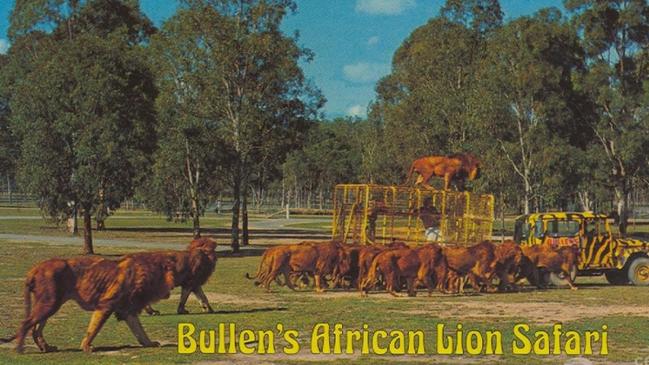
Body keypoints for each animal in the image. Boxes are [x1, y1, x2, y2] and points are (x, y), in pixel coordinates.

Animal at [14, 252, 176, 352]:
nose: (171, 289)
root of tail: (34, 269)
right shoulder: (105, 305)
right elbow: (94, 328)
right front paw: (86, 346)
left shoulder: (127, 310)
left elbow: (139, 330)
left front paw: (150, 343)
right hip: (50, 303)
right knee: (25, 323)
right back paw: (20, 349)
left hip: (49, 303)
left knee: (36, 329)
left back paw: (46, 348)